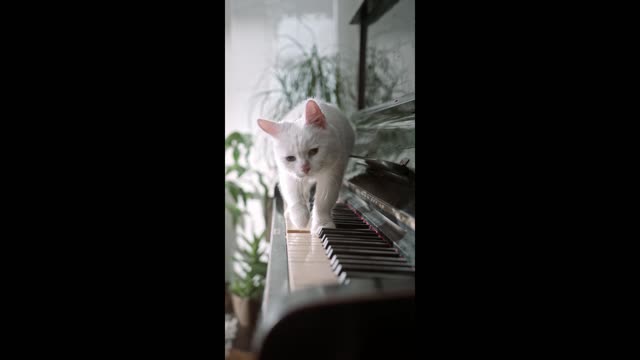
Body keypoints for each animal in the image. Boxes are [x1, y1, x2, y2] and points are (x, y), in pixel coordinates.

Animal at [256, 98, 356, 235]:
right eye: (290, 158)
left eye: (314, 151)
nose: (305, 168)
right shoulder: (288, 176)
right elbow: (294, 197)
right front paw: (300, 219)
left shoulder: (332, 174)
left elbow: (323, 201)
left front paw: (322, 224)